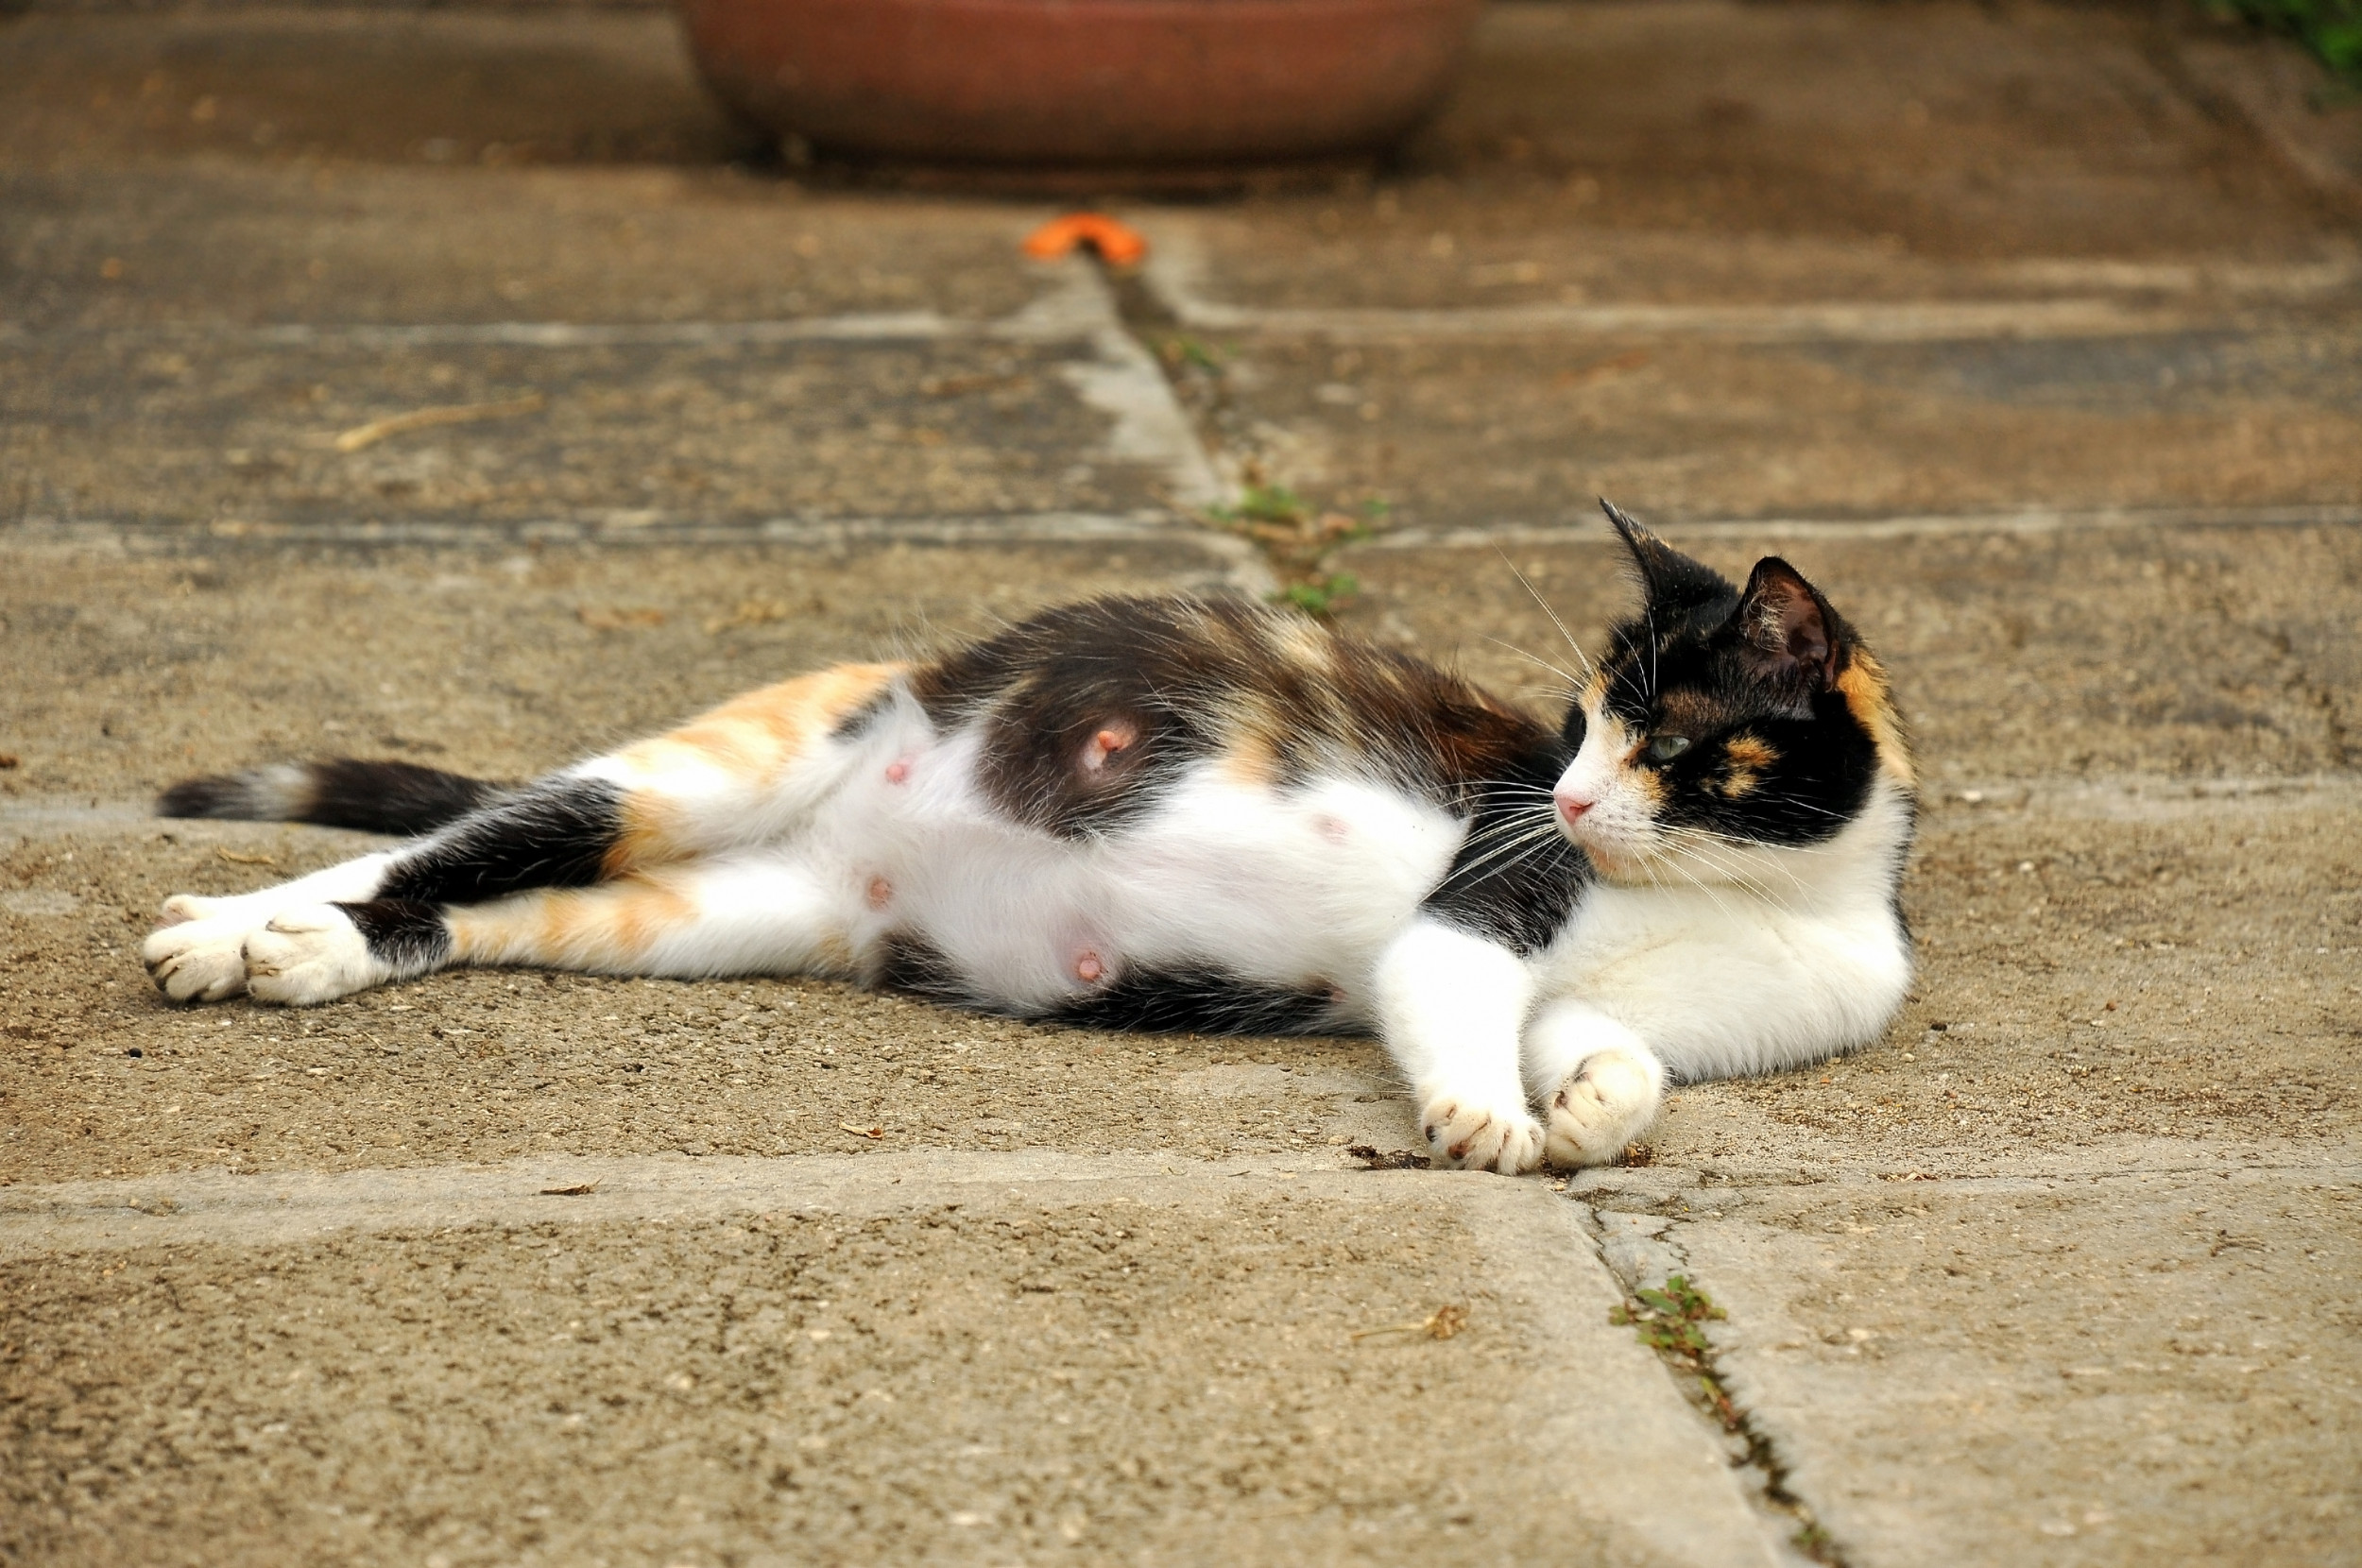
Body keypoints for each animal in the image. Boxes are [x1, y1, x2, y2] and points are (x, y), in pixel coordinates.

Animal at [143, 507, 1918, 1171]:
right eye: (1580, 726)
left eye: (1664, 743)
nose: (1561, 799)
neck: (1769, 898)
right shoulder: (1479, 910)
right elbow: (1456, 994)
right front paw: (1481, 1114)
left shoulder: (1608, 993)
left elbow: (1611, 1055)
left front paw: (1594, 1109)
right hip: (728, 759)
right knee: (490, 830)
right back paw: (252, 925)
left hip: (721, 912)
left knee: (514, 899)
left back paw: (294, 953)